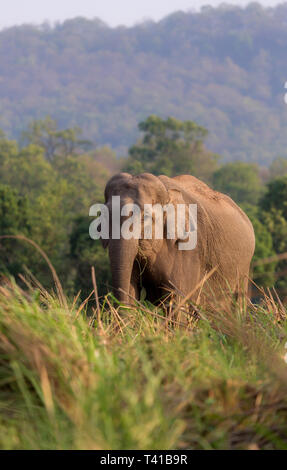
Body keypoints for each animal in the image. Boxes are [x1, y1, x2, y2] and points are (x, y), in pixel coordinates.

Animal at [102, 172, 256, 304]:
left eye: (145, 217)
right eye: (106, 216)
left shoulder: (189, 249)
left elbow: (177, 299)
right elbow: (130, 290)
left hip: (243, 270)